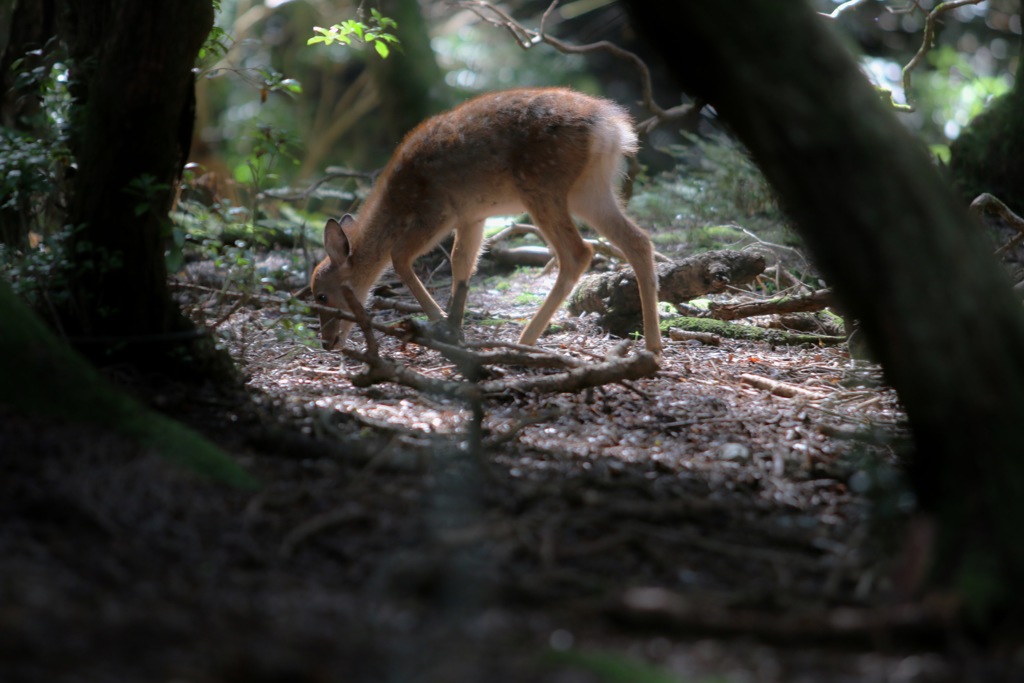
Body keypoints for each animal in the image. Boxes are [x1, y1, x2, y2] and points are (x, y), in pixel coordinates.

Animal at [309, 85, 663, 358]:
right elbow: (462, 262)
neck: (396, 200)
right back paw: (652, 344)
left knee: (578, 252)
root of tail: (611, 128)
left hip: (543, 187)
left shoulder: (436, 211)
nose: (327, 343)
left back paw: (525, 340)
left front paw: (439, 321)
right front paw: (454, 328)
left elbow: (399, 257)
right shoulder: (473, 217)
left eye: (321, 296)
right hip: (590, 190)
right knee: (637, 240)